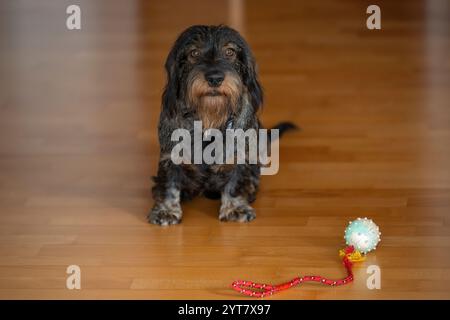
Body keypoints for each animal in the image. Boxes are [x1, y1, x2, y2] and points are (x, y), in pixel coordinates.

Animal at [149, 24, 296, 225]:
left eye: (230, 52)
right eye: (194, 53)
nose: (215, 78)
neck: (209, 120)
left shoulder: (239, 156)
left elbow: (235, 181)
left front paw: (235, 207)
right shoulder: (170, 155)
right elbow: (169, 183)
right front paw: (166, 210)